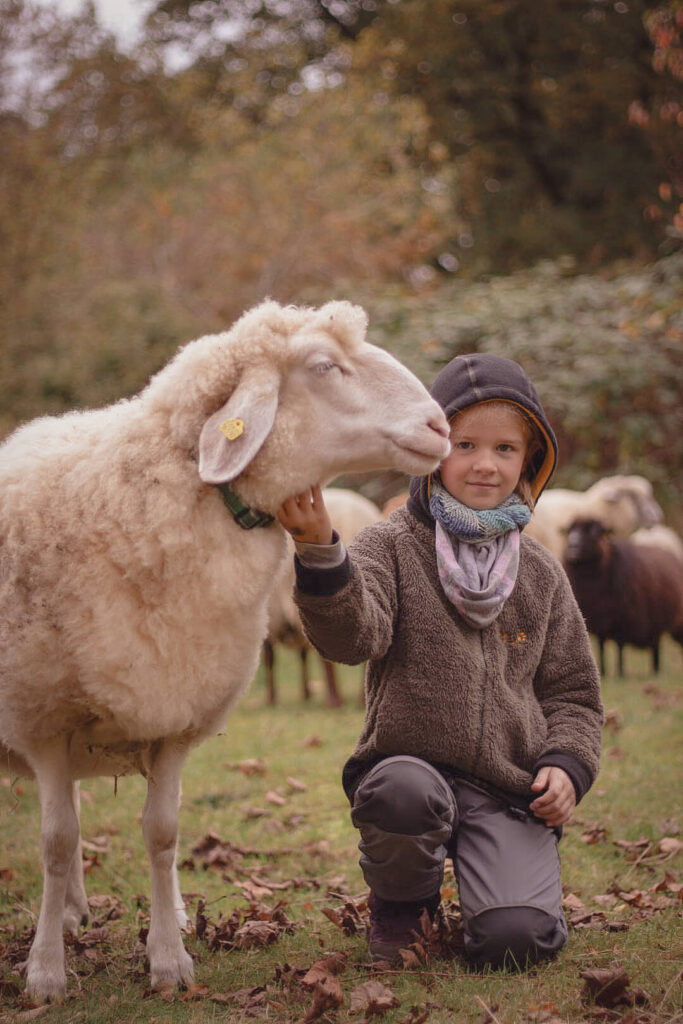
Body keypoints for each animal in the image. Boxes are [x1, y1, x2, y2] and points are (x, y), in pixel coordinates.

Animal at [563, 517, 683, 676]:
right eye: (569, 531)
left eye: (595, 531)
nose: (573, 547)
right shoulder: (600, 620)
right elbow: (601, 648)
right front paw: (604, 672)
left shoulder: (623, 620)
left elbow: (619, 648)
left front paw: (620, 673)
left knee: (656, 647)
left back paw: (656, 671)